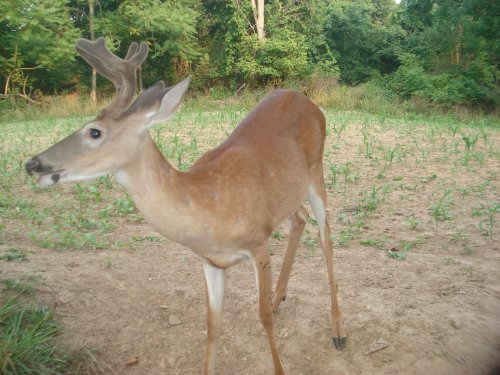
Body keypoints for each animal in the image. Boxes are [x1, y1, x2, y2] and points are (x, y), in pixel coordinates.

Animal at [25, 38, 346, 375]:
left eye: (94, 132)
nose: (33, 163)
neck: (207, 207)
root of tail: (308, 101)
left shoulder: (258, 243)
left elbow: (263, 319)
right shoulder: (210, 262)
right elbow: (213, 325)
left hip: (316, 171)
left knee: (325, 237)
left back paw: (338, 331)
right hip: (289, 193)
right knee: (300, 218)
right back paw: (277, 297)